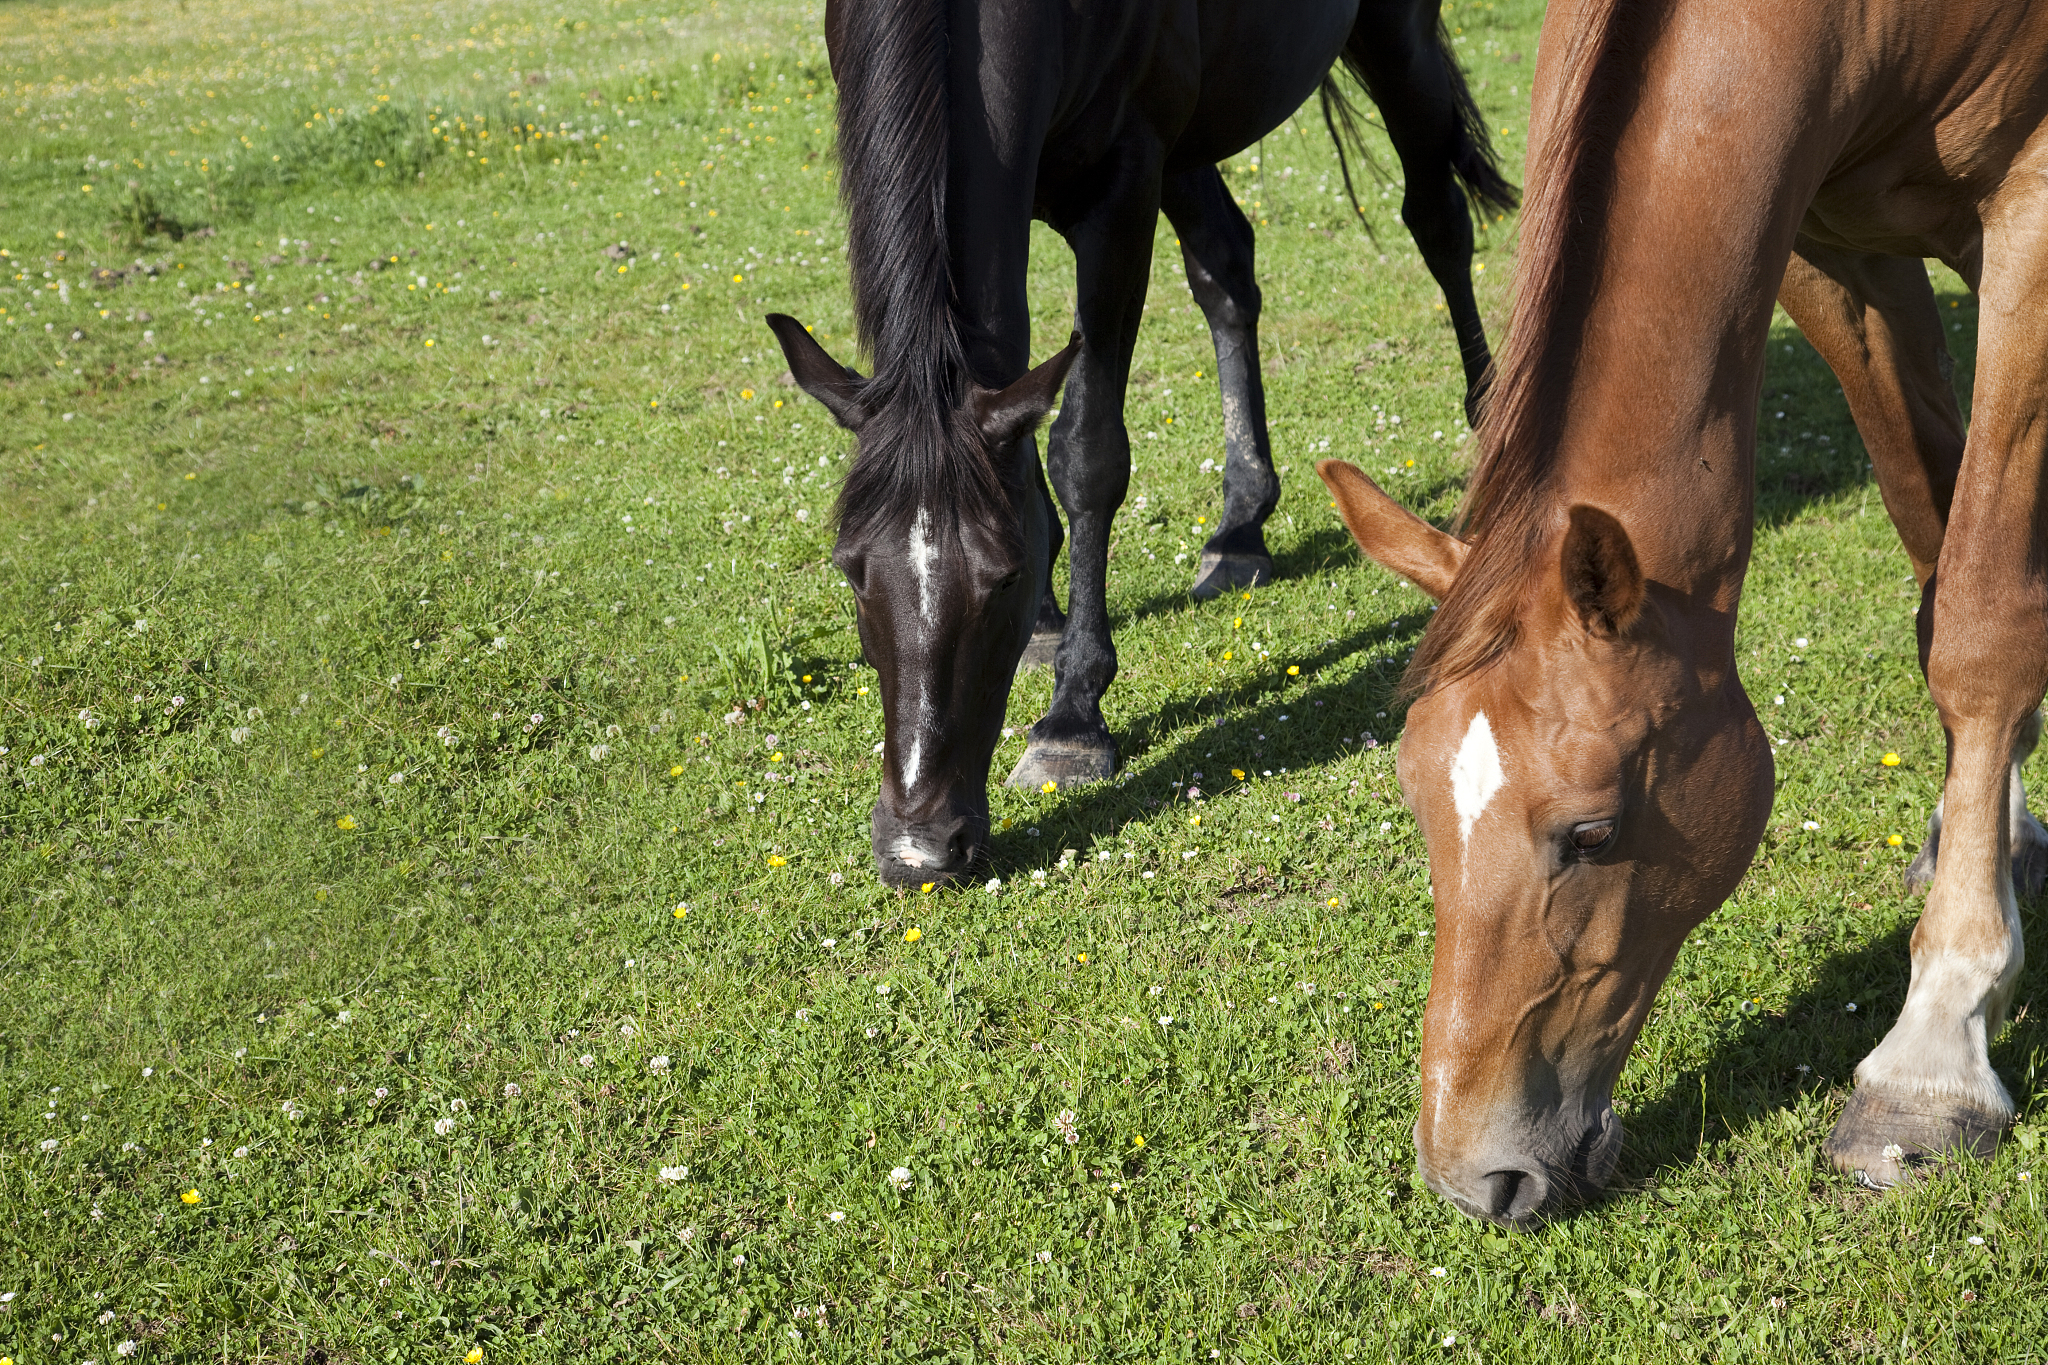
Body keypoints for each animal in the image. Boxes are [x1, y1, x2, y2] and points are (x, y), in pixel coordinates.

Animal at [765, 0, 1515, 886]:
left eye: (999, 577)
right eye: (849, 569)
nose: (920, 849)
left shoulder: (1122, 190)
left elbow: (1086, 452)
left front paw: (1072, 718)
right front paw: (1048, 625)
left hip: (1393, 41)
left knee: (1436, 217)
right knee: (1227, 266)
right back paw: (1239, 530)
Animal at [1317, 0, 2048, 1223]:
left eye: (1591, 833)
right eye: (1417, 803)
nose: (1476, 1176)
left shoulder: (2031, 224)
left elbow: (1983, 630)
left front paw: (1931, 1057)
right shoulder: (1833, 258)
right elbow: (1933, 551)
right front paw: (1991, 834)